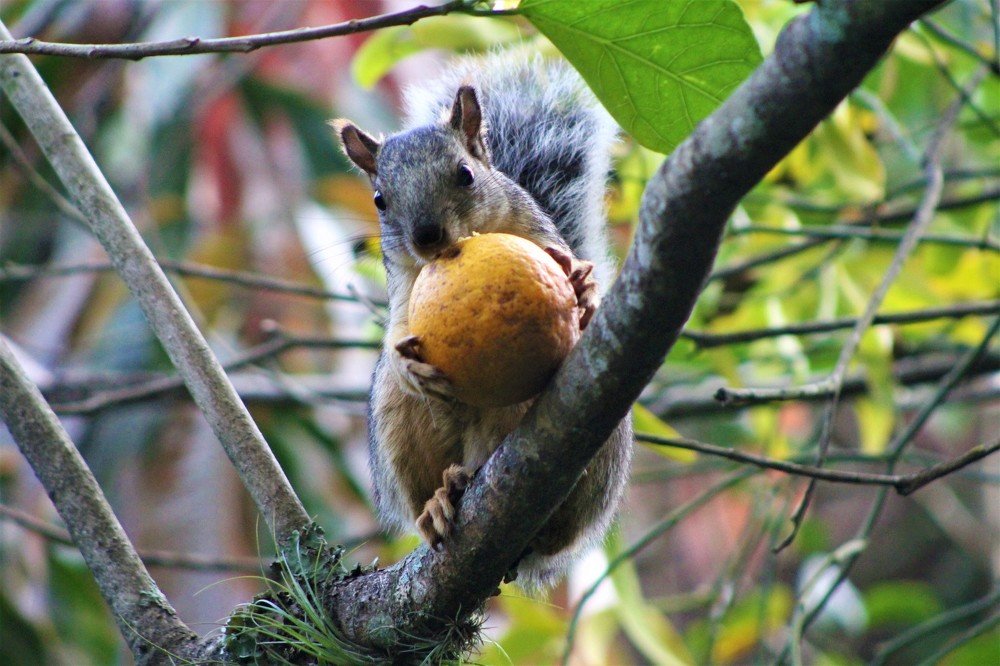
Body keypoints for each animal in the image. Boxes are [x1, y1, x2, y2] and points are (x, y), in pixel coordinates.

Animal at [333, 54, 633, 589]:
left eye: (465, 174)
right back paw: (441, 499)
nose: (427, 236)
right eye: (380, 200)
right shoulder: (403, 287)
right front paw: (406, 363)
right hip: (396, 422)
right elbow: (395, 331)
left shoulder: (541, 234)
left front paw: (583, 288)